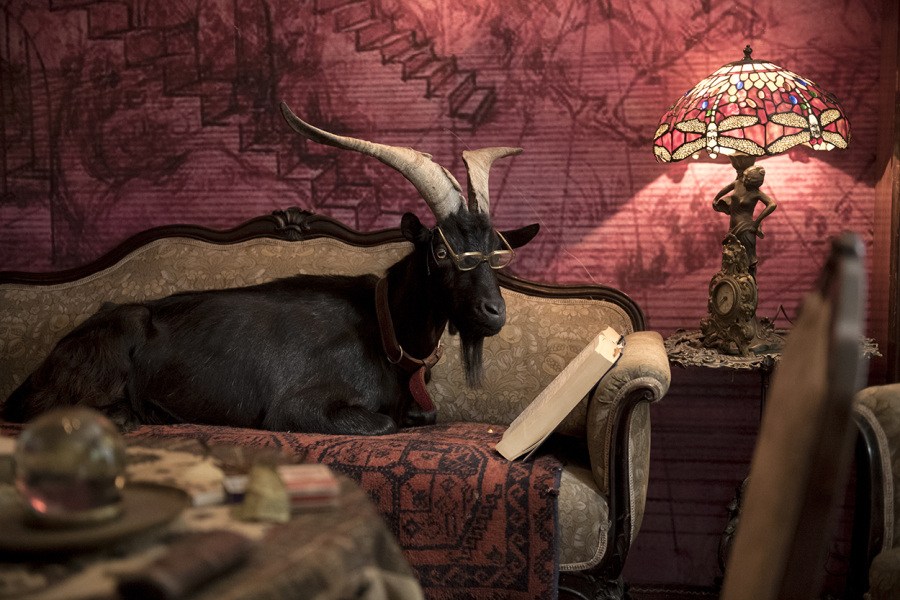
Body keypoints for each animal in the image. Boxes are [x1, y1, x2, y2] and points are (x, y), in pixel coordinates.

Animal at [1, 103, 539, 435]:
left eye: (496, 252)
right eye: (445, 252)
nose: (495, 312)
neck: (386, 329)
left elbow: (422, 417)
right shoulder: (297, 407)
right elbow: (383, 422)